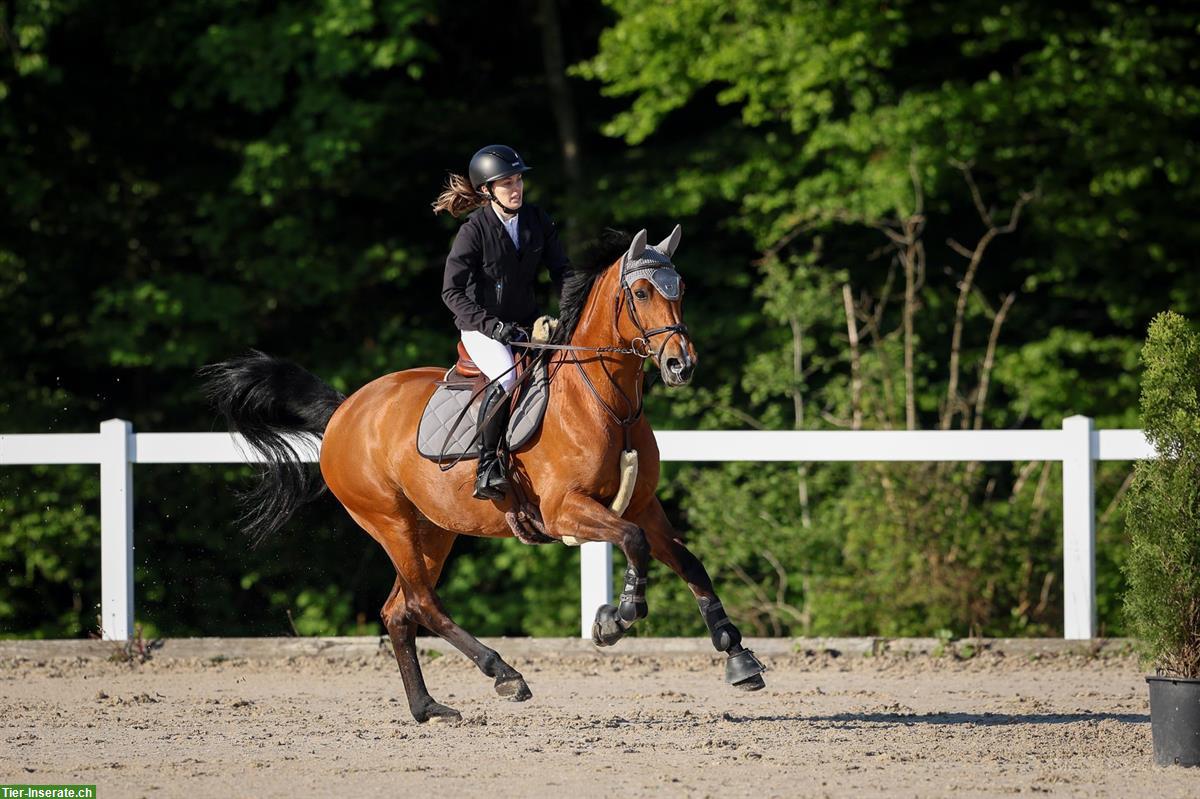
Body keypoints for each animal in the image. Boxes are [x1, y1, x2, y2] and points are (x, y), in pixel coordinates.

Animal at [202, 224, 768, 719]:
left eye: (681, 289)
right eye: (644, 291)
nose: (681, 365)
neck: (606, 403)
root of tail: (345, 410)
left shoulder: (644, 505)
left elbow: (687, 561)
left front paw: (737, 656)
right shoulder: (566, 511)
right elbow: (633, 542)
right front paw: (616, 618)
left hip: (433, 530)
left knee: (398, 610)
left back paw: (427, 708)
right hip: (389, 521)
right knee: (423, 602)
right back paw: (504, 674)